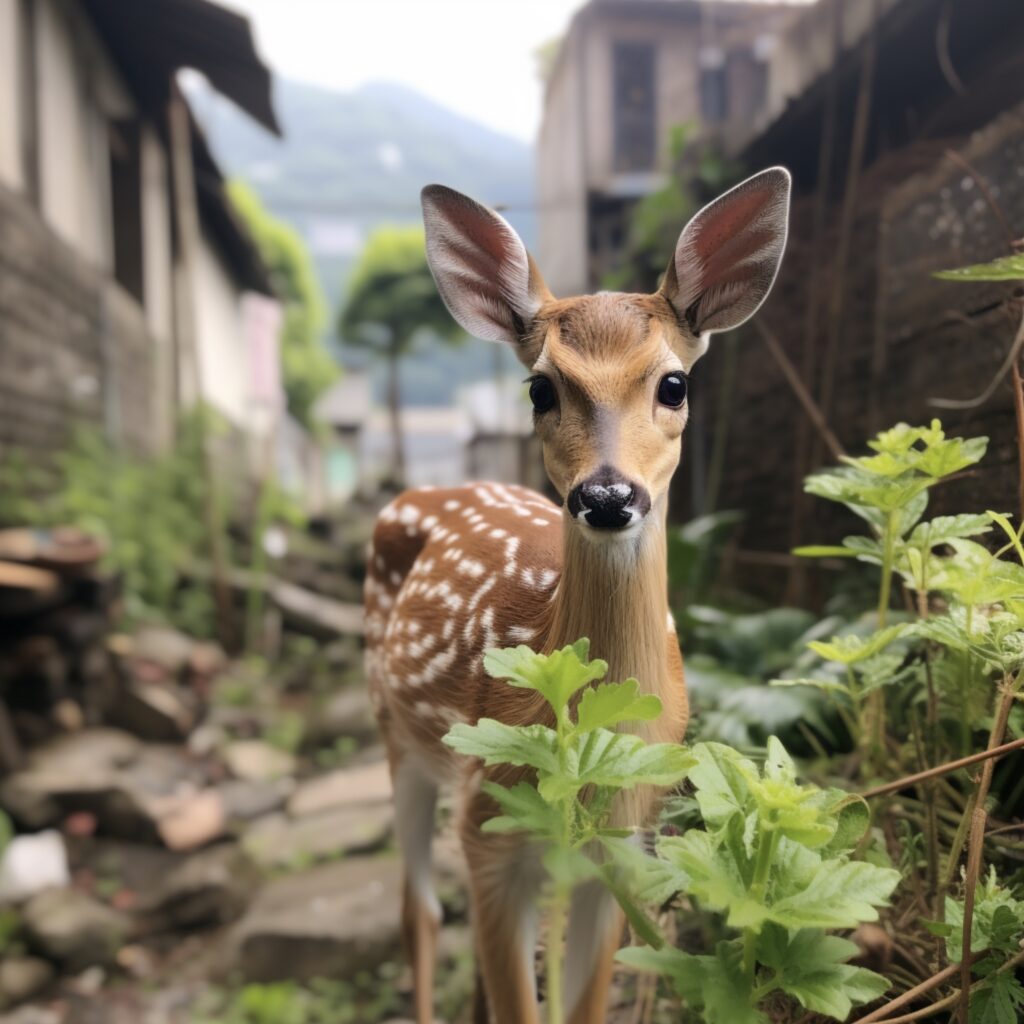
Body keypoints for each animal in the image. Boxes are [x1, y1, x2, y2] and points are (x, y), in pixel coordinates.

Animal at [364, 167, 791, 1024]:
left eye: (673, 383)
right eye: (539, 389)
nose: (606, 495)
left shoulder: (624, 841)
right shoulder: (489, 827)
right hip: (395, 731)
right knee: (417, 910)